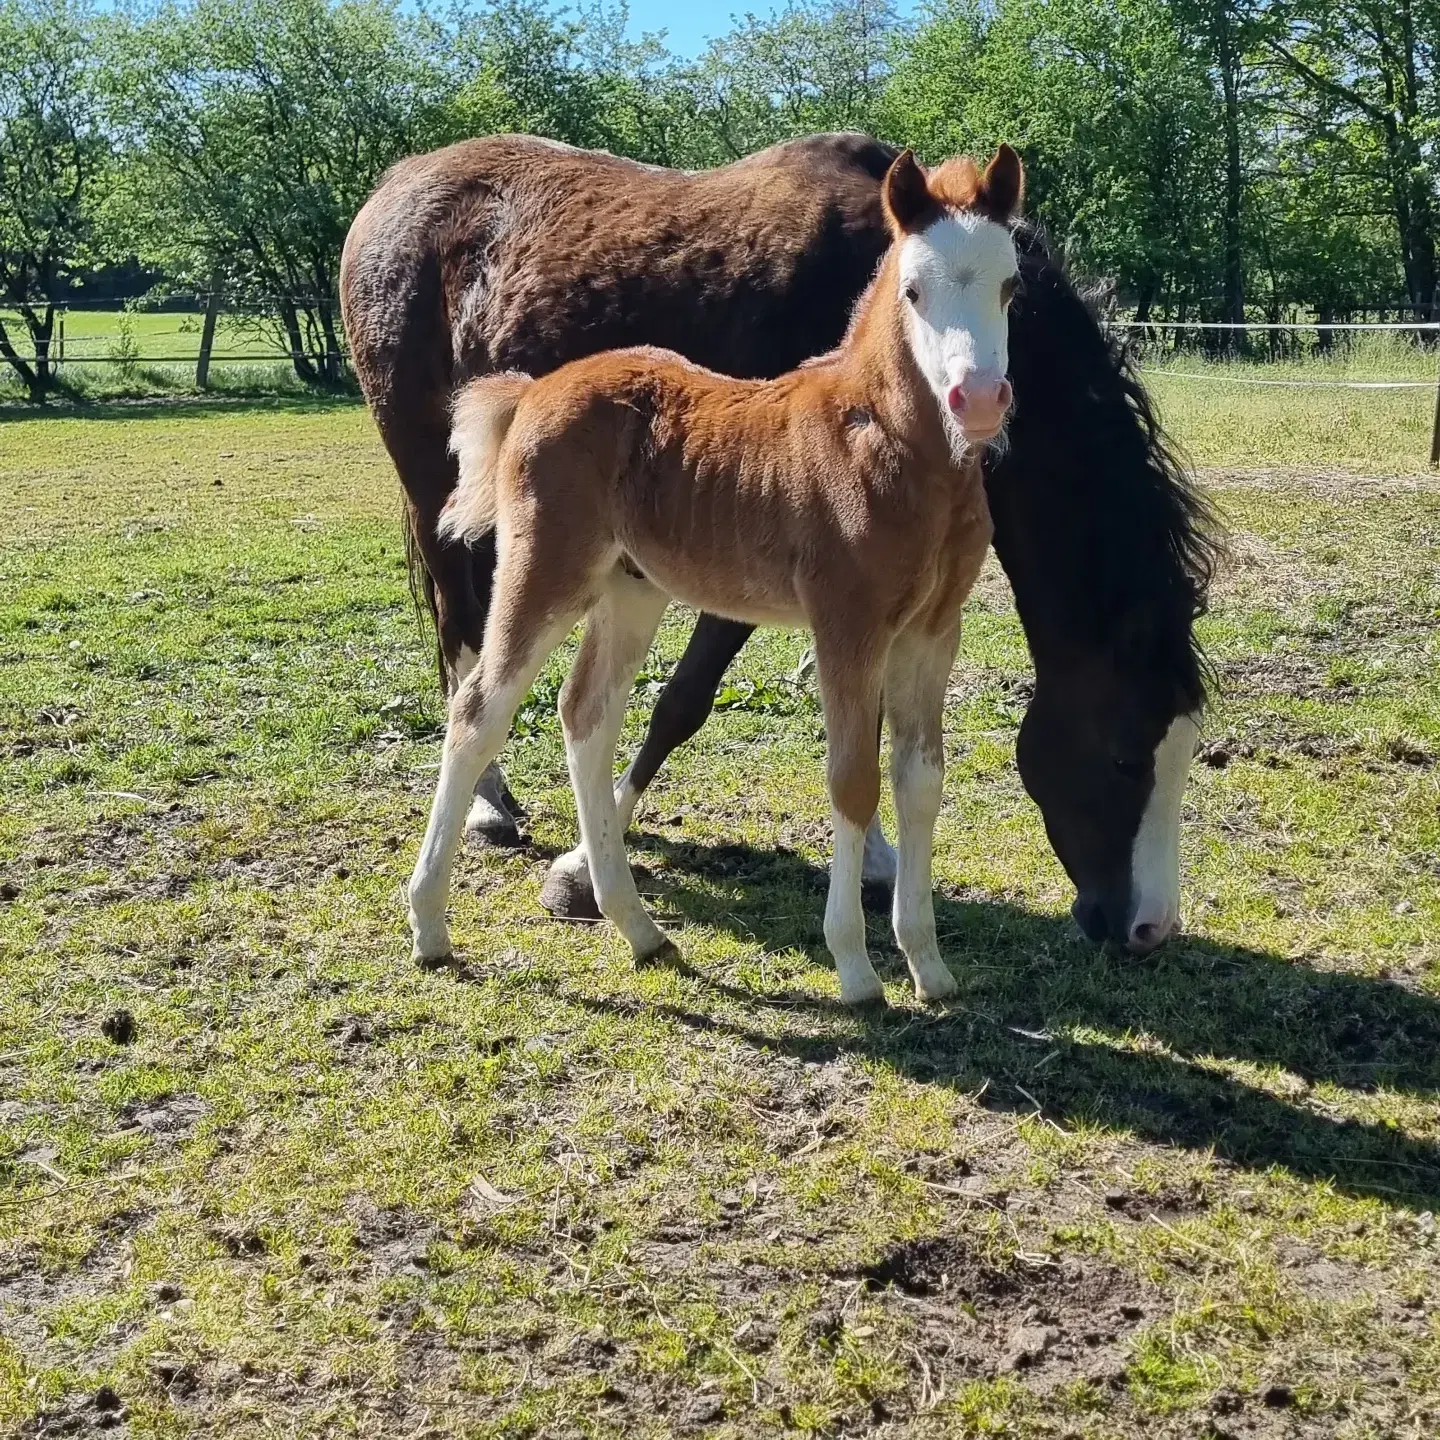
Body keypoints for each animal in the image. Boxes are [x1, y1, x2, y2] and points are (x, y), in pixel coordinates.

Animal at [408, 146, 1025, 1002]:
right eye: (913, 289)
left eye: (1011, 285)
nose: (979, 400)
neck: (884, 445)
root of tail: (534, 390)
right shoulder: (847, 625)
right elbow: (853, 782)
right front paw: (856, 967)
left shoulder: (934, 632)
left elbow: (921, 783)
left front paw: (930, 966)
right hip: (543, 573)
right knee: (478, 710)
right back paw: (431, 924)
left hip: (629, 590)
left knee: (585, 715)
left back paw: (637, 927)